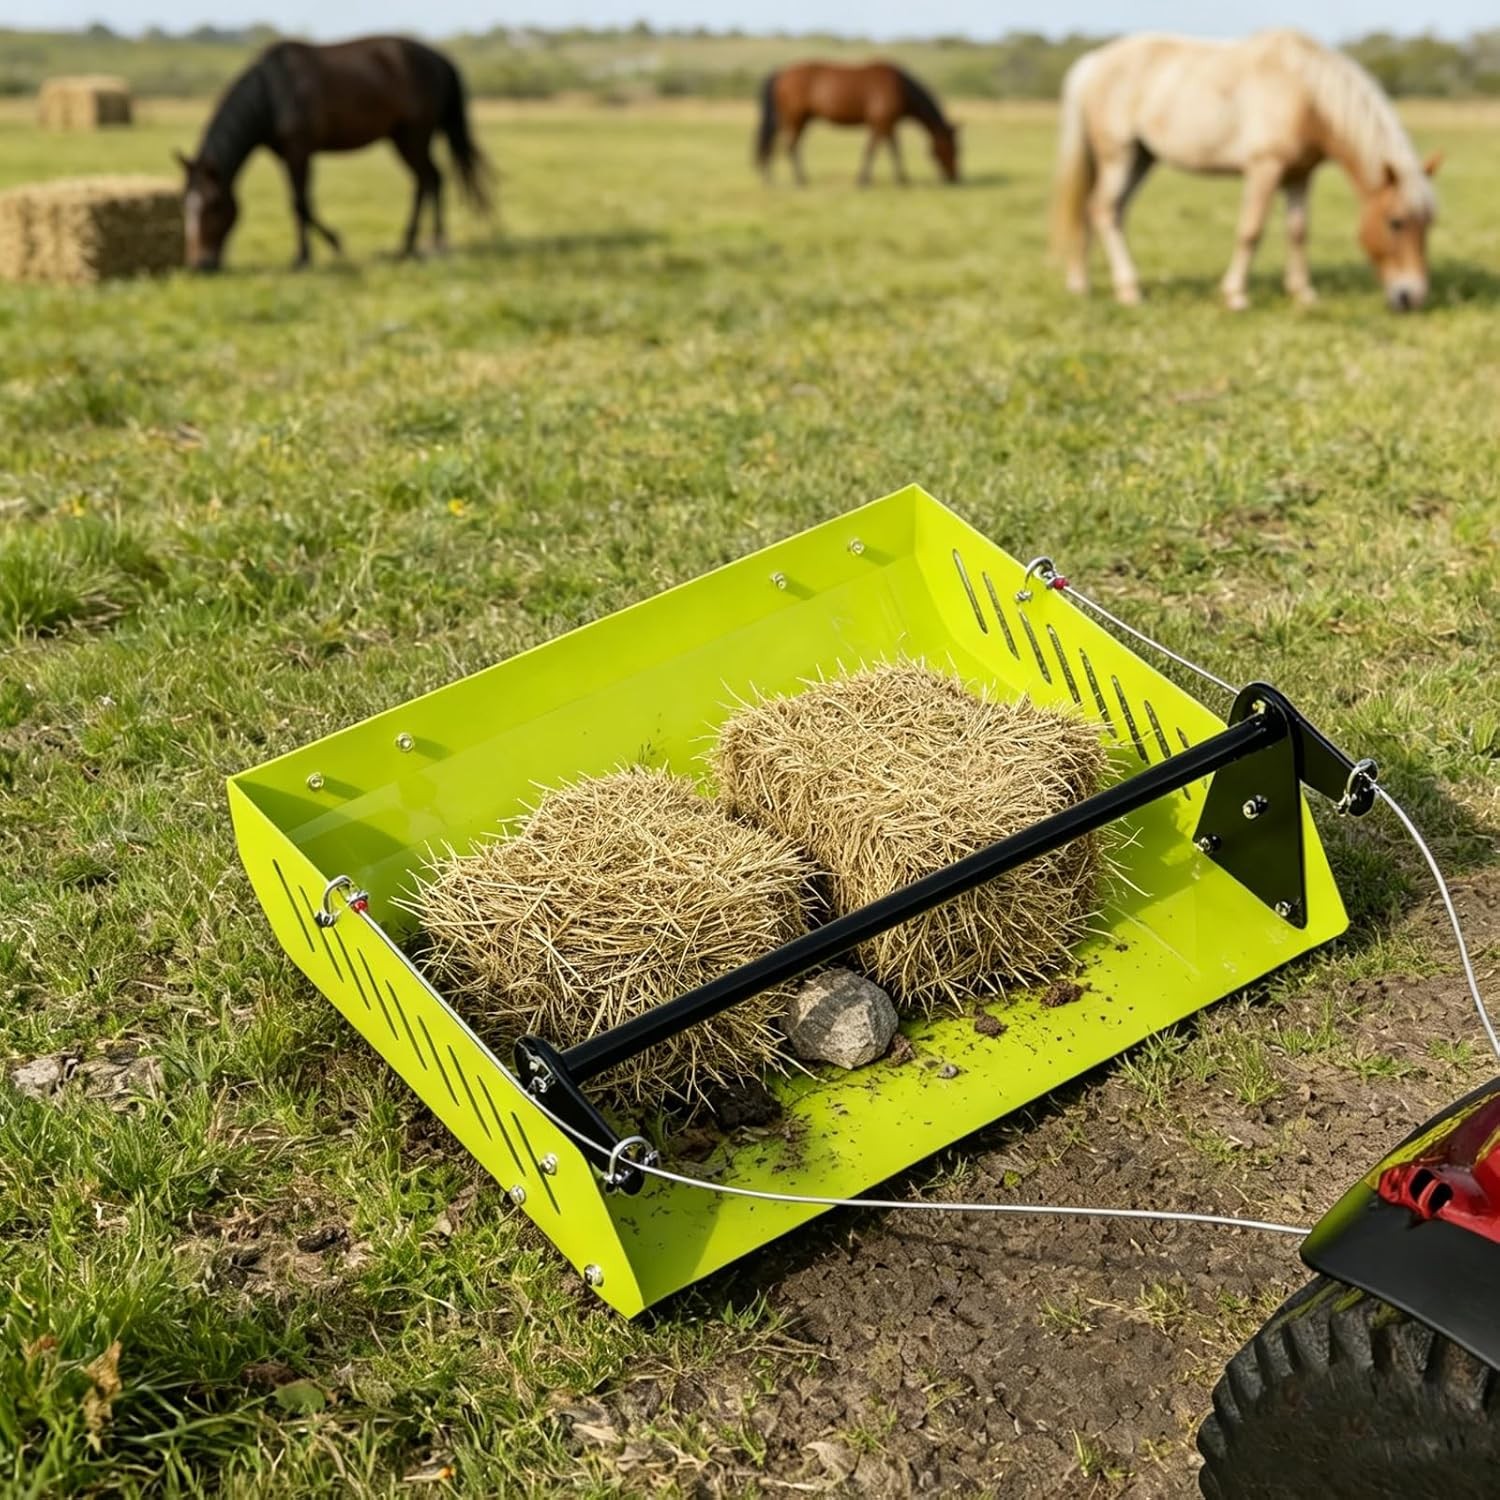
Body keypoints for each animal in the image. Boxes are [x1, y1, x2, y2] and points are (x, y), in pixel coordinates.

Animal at [176, 36, 492, 272]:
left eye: (214, 205)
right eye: (185, 206)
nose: (201, 264)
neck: (273, 94)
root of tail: (441, 59)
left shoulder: (299, 150)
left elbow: (300, 203)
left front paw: (309, 255)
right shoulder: (284, 155)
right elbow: (301, 203)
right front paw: (322, 247)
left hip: (414, 135)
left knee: (430, 179)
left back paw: (432, 243)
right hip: (403, 138)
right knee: (428, 179)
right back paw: (411, 245)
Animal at [755, 62, 960, 187]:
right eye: (953, 149)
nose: (954, 178)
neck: (901, 88)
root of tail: (781, 73)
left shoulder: (886, 125)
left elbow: (889, 150)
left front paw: (900, 179)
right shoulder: (881, 123)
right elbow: (877, 151)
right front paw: (866, 181)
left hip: (793, 120)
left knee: (775, 144)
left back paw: (770, 179)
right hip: (795, 119)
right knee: (789, 146)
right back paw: (800, 180)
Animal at [1050, 29, 1439, 311]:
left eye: (1429, 225)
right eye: (1395, 222)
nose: (1412, 297)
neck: (1303, 95)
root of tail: (1093, 62)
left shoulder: (1300, 175)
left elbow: (1298, 231)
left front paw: (1303, 294)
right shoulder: (1264, 168)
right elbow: (1251, 230)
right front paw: (1236, 295)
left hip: (1141, 159)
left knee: (1104, 211)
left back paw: (1081, 284)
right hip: (1119, 155)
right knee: (1102, 209)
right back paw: (1129, 291)